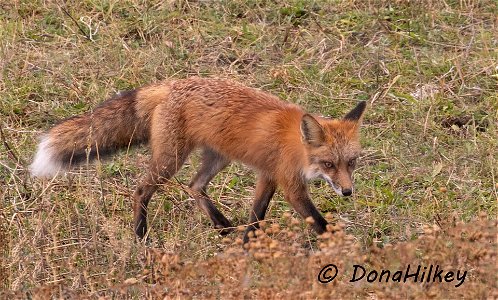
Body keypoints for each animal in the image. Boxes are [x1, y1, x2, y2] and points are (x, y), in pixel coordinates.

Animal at [31, 77, 366, 241]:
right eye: (328, 164)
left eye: (351, 162)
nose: (348, 191)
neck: (294, 144)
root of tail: (170, 84)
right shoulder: (289, 184)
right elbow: (318, 221)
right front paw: (346, 250)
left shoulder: (268, 176)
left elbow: (256, 215)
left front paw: (248, 243)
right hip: (170, 160)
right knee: (141, 190)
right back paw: (141, 236)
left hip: (218, 158)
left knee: (195, 186)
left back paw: (223, 227)